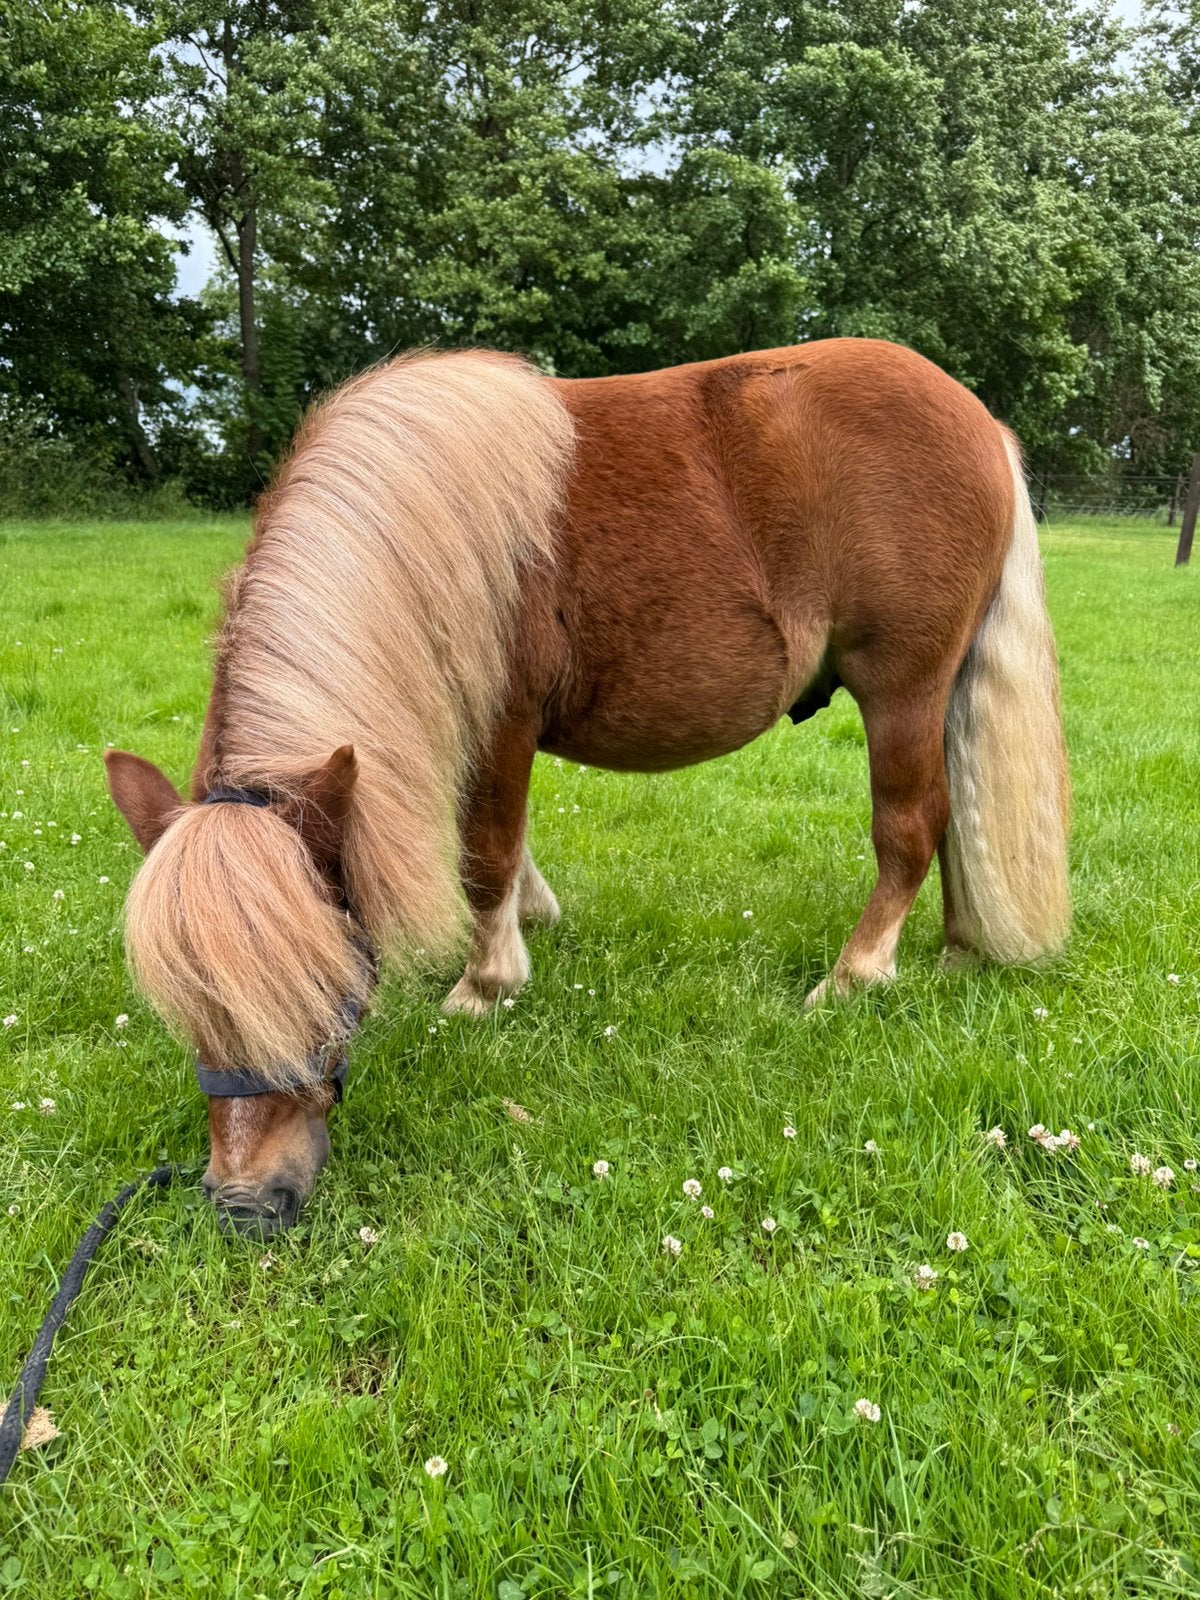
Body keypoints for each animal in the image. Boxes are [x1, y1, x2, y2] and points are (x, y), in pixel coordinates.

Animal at [105, 340, 1070, 1235]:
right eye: (184, 1005)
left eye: (316, 985)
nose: (244, 1202)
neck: (424, 524)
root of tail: (981, 423)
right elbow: (509, 852)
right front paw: (527, 926)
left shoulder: (502, 723)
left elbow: (486, 853)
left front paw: (485, 985)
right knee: (958, 824)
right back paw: (956, 951)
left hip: (901, 689)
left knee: (912, 827)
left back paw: (856, 975)